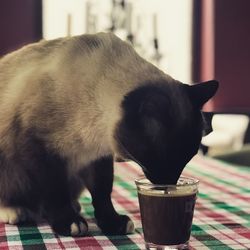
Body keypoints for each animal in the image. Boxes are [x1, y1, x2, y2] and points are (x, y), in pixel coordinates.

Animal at [0, 32, 219, 236]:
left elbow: (102, 193)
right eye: (164, 158)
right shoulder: (41, 152)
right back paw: (16, 211)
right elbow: (55, 192)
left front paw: (112, 223)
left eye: (187, 158)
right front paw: (69, 223)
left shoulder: (96, 157)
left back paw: (74, 206)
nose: (169, 184)